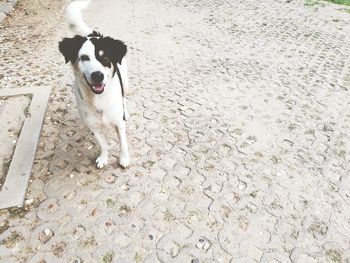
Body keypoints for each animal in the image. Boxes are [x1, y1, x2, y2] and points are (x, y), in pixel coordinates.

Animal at [58, 0, 130, 169]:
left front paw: (124, 158)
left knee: (124, 97)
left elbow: (123, 143)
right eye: (84, 57)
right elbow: (103, 144)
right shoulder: (94, 126)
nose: (97, 76)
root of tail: (94, 34)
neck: (99, 98)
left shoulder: (118, 123)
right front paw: (103, 158)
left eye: (106, 58)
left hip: (125, 81)